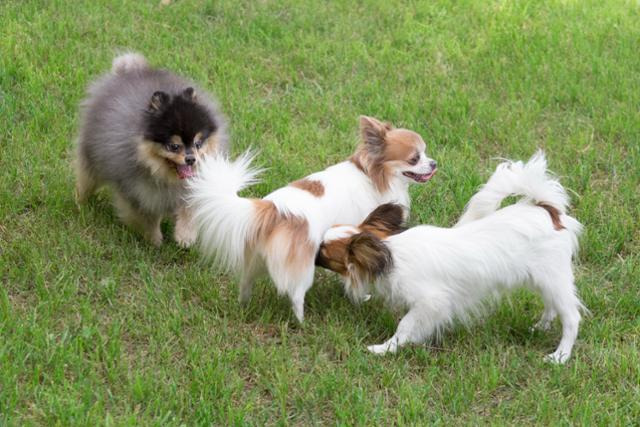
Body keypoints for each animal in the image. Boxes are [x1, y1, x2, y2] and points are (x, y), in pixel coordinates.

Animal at [190, 115, 438, 322]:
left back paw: (244, 306)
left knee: (246, 282)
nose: (434, 163)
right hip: (304, 266)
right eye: (414, 159)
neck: (372, 177)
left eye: (425, 152)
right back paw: (302, 322)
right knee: (296, 296)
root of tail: (272, 209)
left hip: (255, 259)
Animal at [316, 152, 584, 362]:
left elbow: (405, 326)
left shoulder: (431, 302)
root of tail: (548, 210)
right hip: (541, 278)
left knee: (571, 317)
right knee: (551, 306)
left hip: (553, 277)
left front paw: (384, 348)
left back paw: (560, 356)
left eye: (323, 251)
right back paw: (540, 327)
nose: (312, 253)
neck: (390, 252)